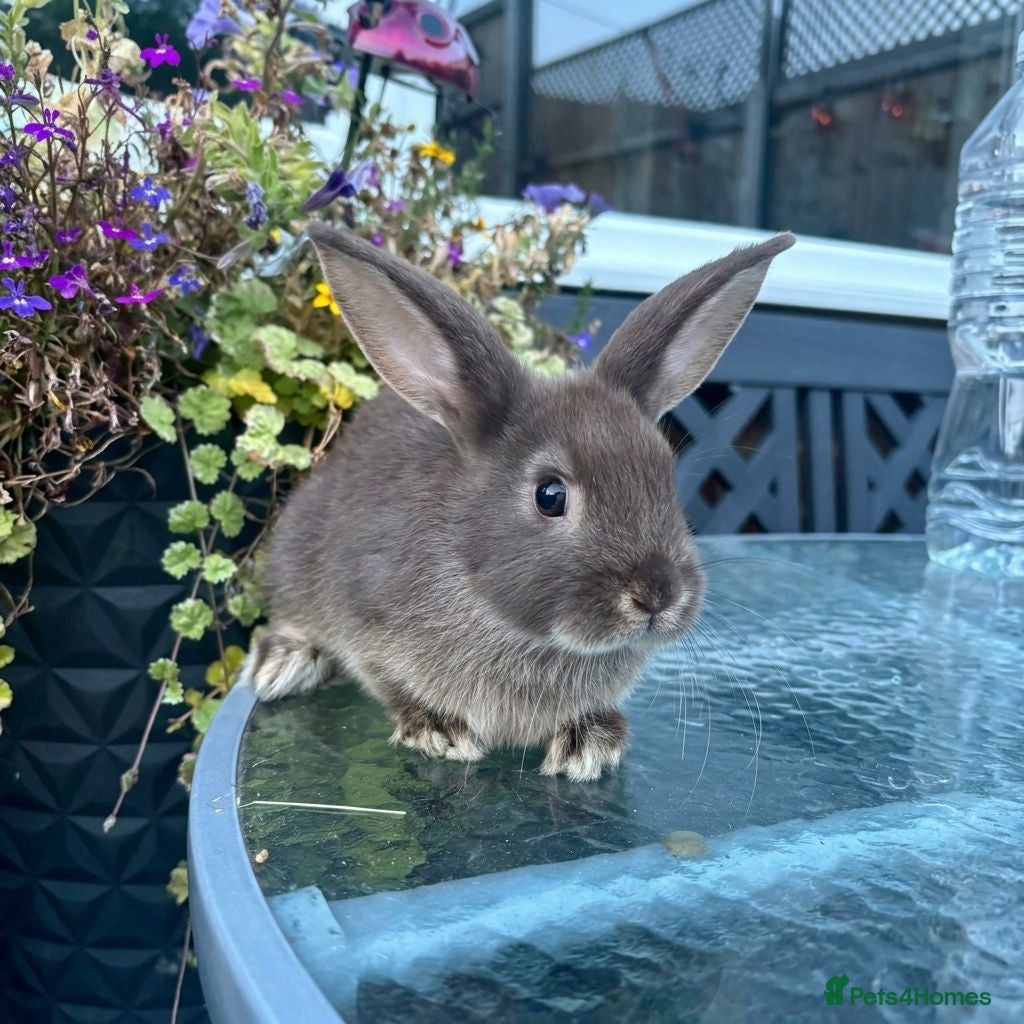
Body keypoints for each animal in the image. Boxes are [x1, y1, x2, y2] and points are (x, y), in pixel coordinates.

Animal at [246, 221, 794, 781]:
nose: (658, 596)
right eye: (550, 495)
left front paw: (589, 742)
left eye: (664, 474)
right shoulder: (365, 618)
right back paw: (285, 662)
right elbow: (387, 681)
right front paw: (438, 730)